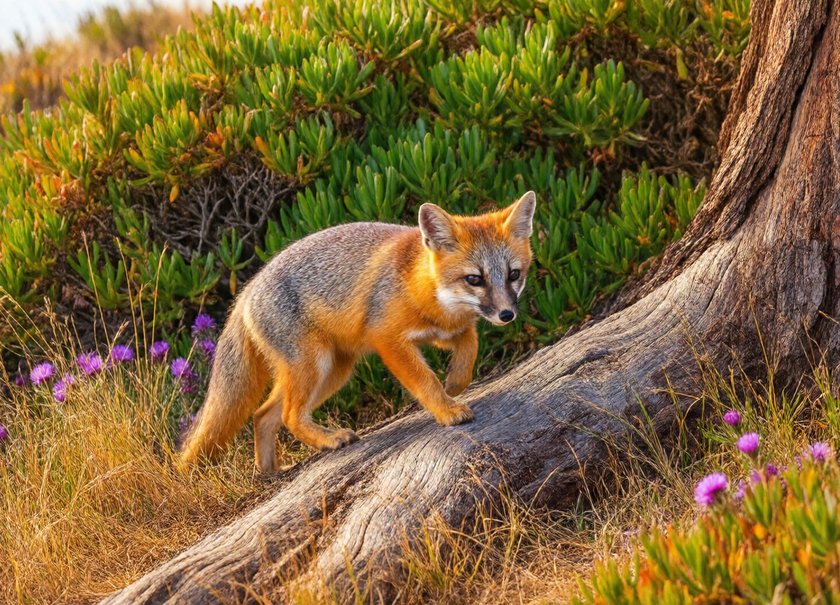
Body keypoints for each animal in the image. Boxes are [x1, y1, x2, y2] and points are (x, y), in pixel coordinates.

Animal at [179, 191, 536, 473]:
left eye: (513, 274)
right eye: (475, 279)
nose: (507, 314)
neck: (419, 284)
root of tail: (248, 288)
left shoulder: (444, 331)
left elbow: (469, 345)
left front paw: (456, 382)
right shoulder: (389, 341)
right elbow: (425, 380)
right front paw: (447, 409)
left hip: (334, 372)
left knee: (263, 414)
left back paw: (270, 472)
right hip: (315, 367)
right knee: (289, 416)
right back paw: (329, 440)